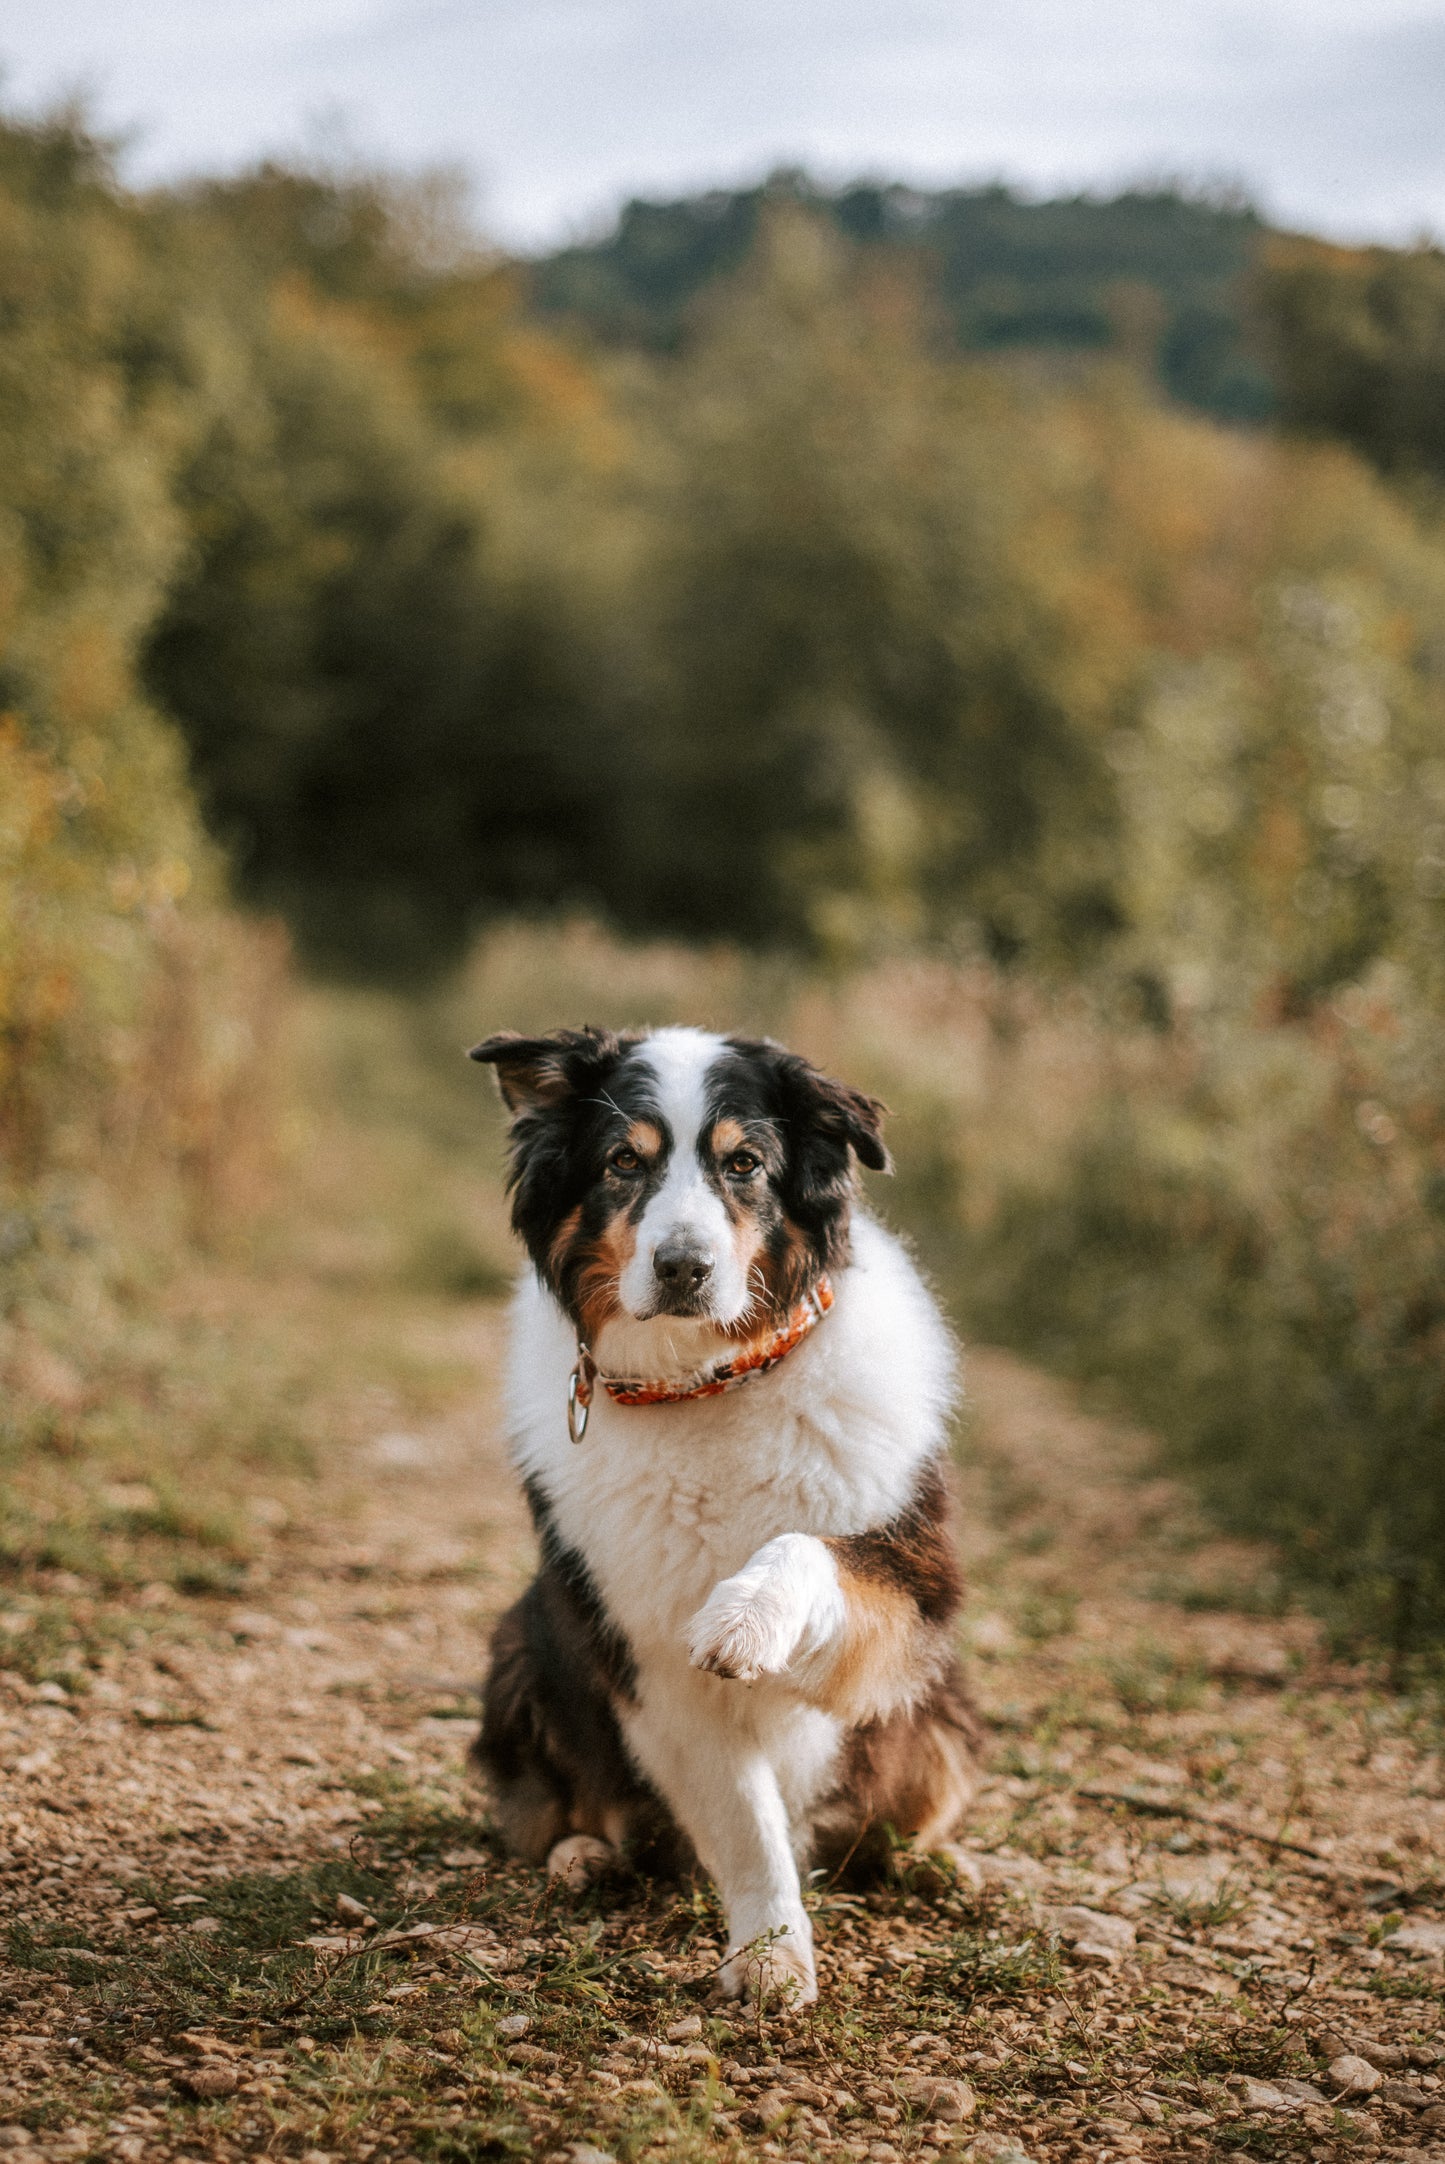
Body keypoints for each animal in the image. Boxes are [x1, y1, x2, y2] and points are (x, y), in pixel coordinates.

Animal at [469, 1021, 977, 1999]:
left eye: (743, 1163)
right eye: (623, 1162)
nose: (683, 1267)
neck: (704, 1380)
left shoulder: (912, 1585)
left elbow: (803, 1547)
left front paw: (745, 1617)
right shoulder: (647, 1658)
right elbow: (746, 1826)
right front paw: (771, 1954)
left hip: (942, 1704)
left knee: (906, 1810)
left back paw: (937, 1865)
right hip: (524, 1644)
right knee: (565, 1810)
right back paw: (583, 1856)